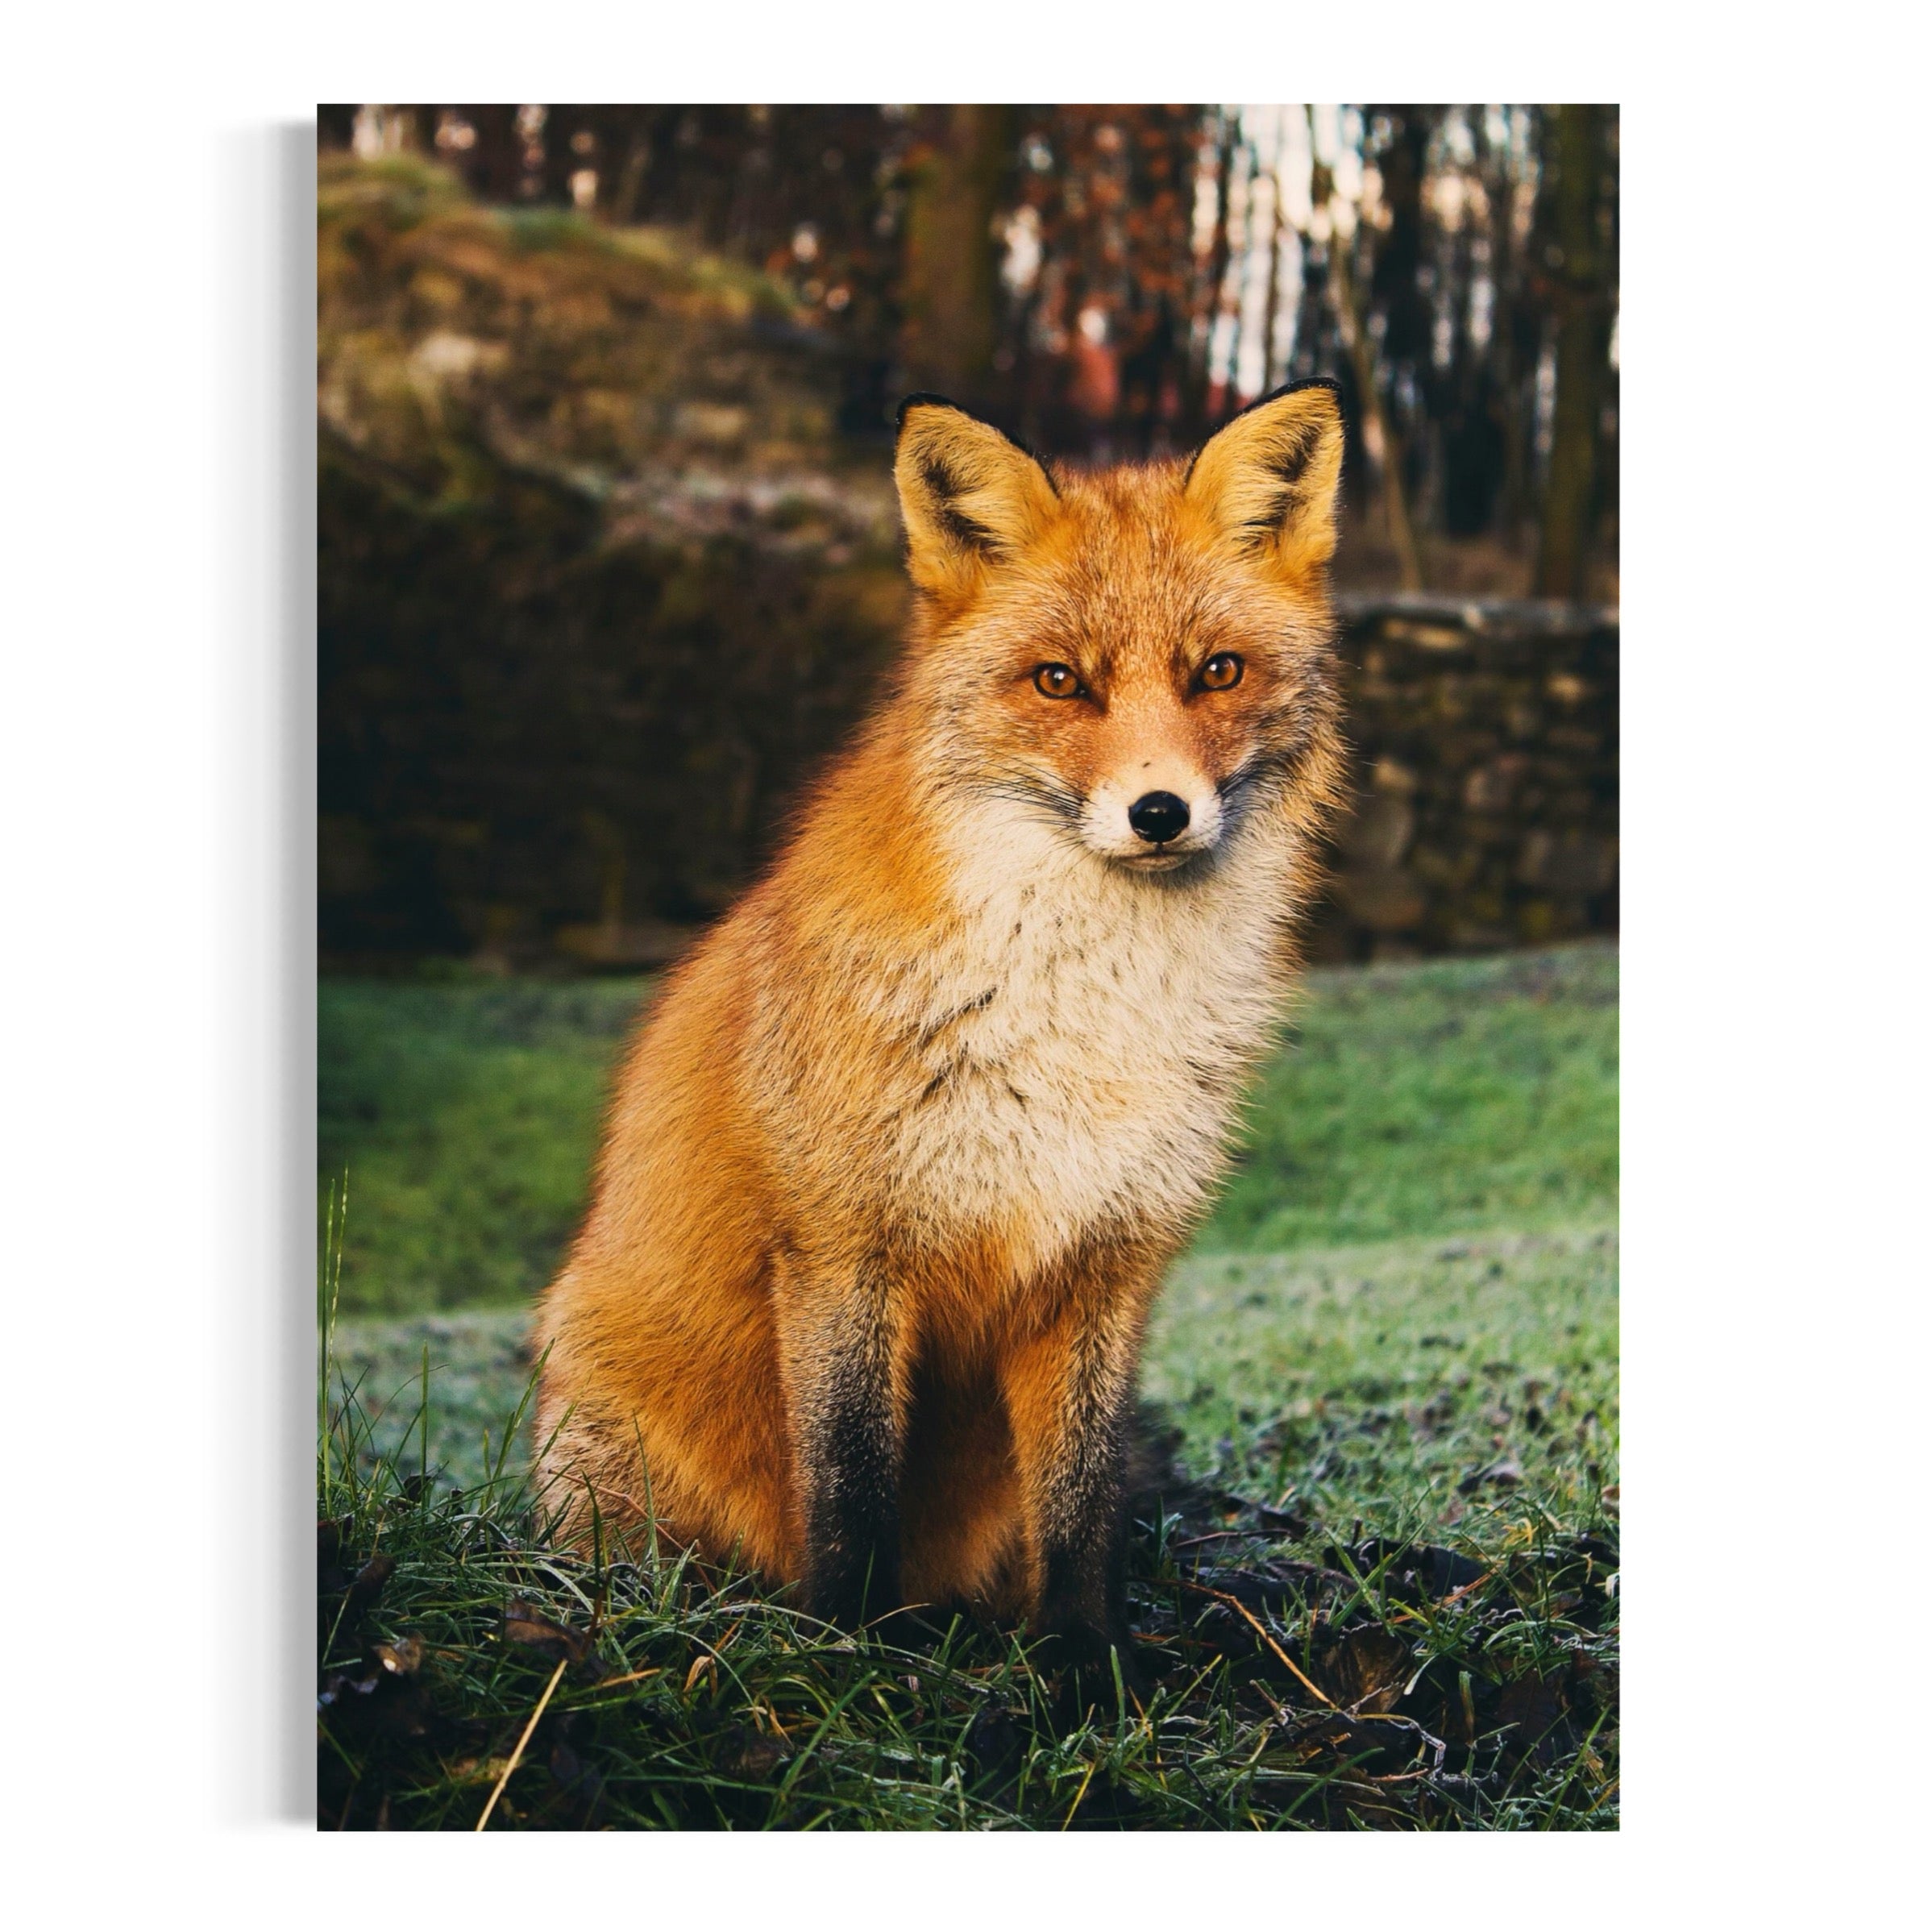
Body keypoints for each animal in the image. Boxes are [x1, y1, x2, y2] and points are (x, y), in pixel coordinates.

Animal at [533, 379, 1349, 1683]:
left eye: (1217, 672)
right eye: (1059, 682)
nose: (1159, 813)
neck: (1081, 1015)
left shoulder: (1104, 1264)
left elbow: (1081, 1505)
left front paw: (1086, 1668)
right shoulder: (843, 1248)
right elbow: (851, 1484)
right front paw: (852, 1654)